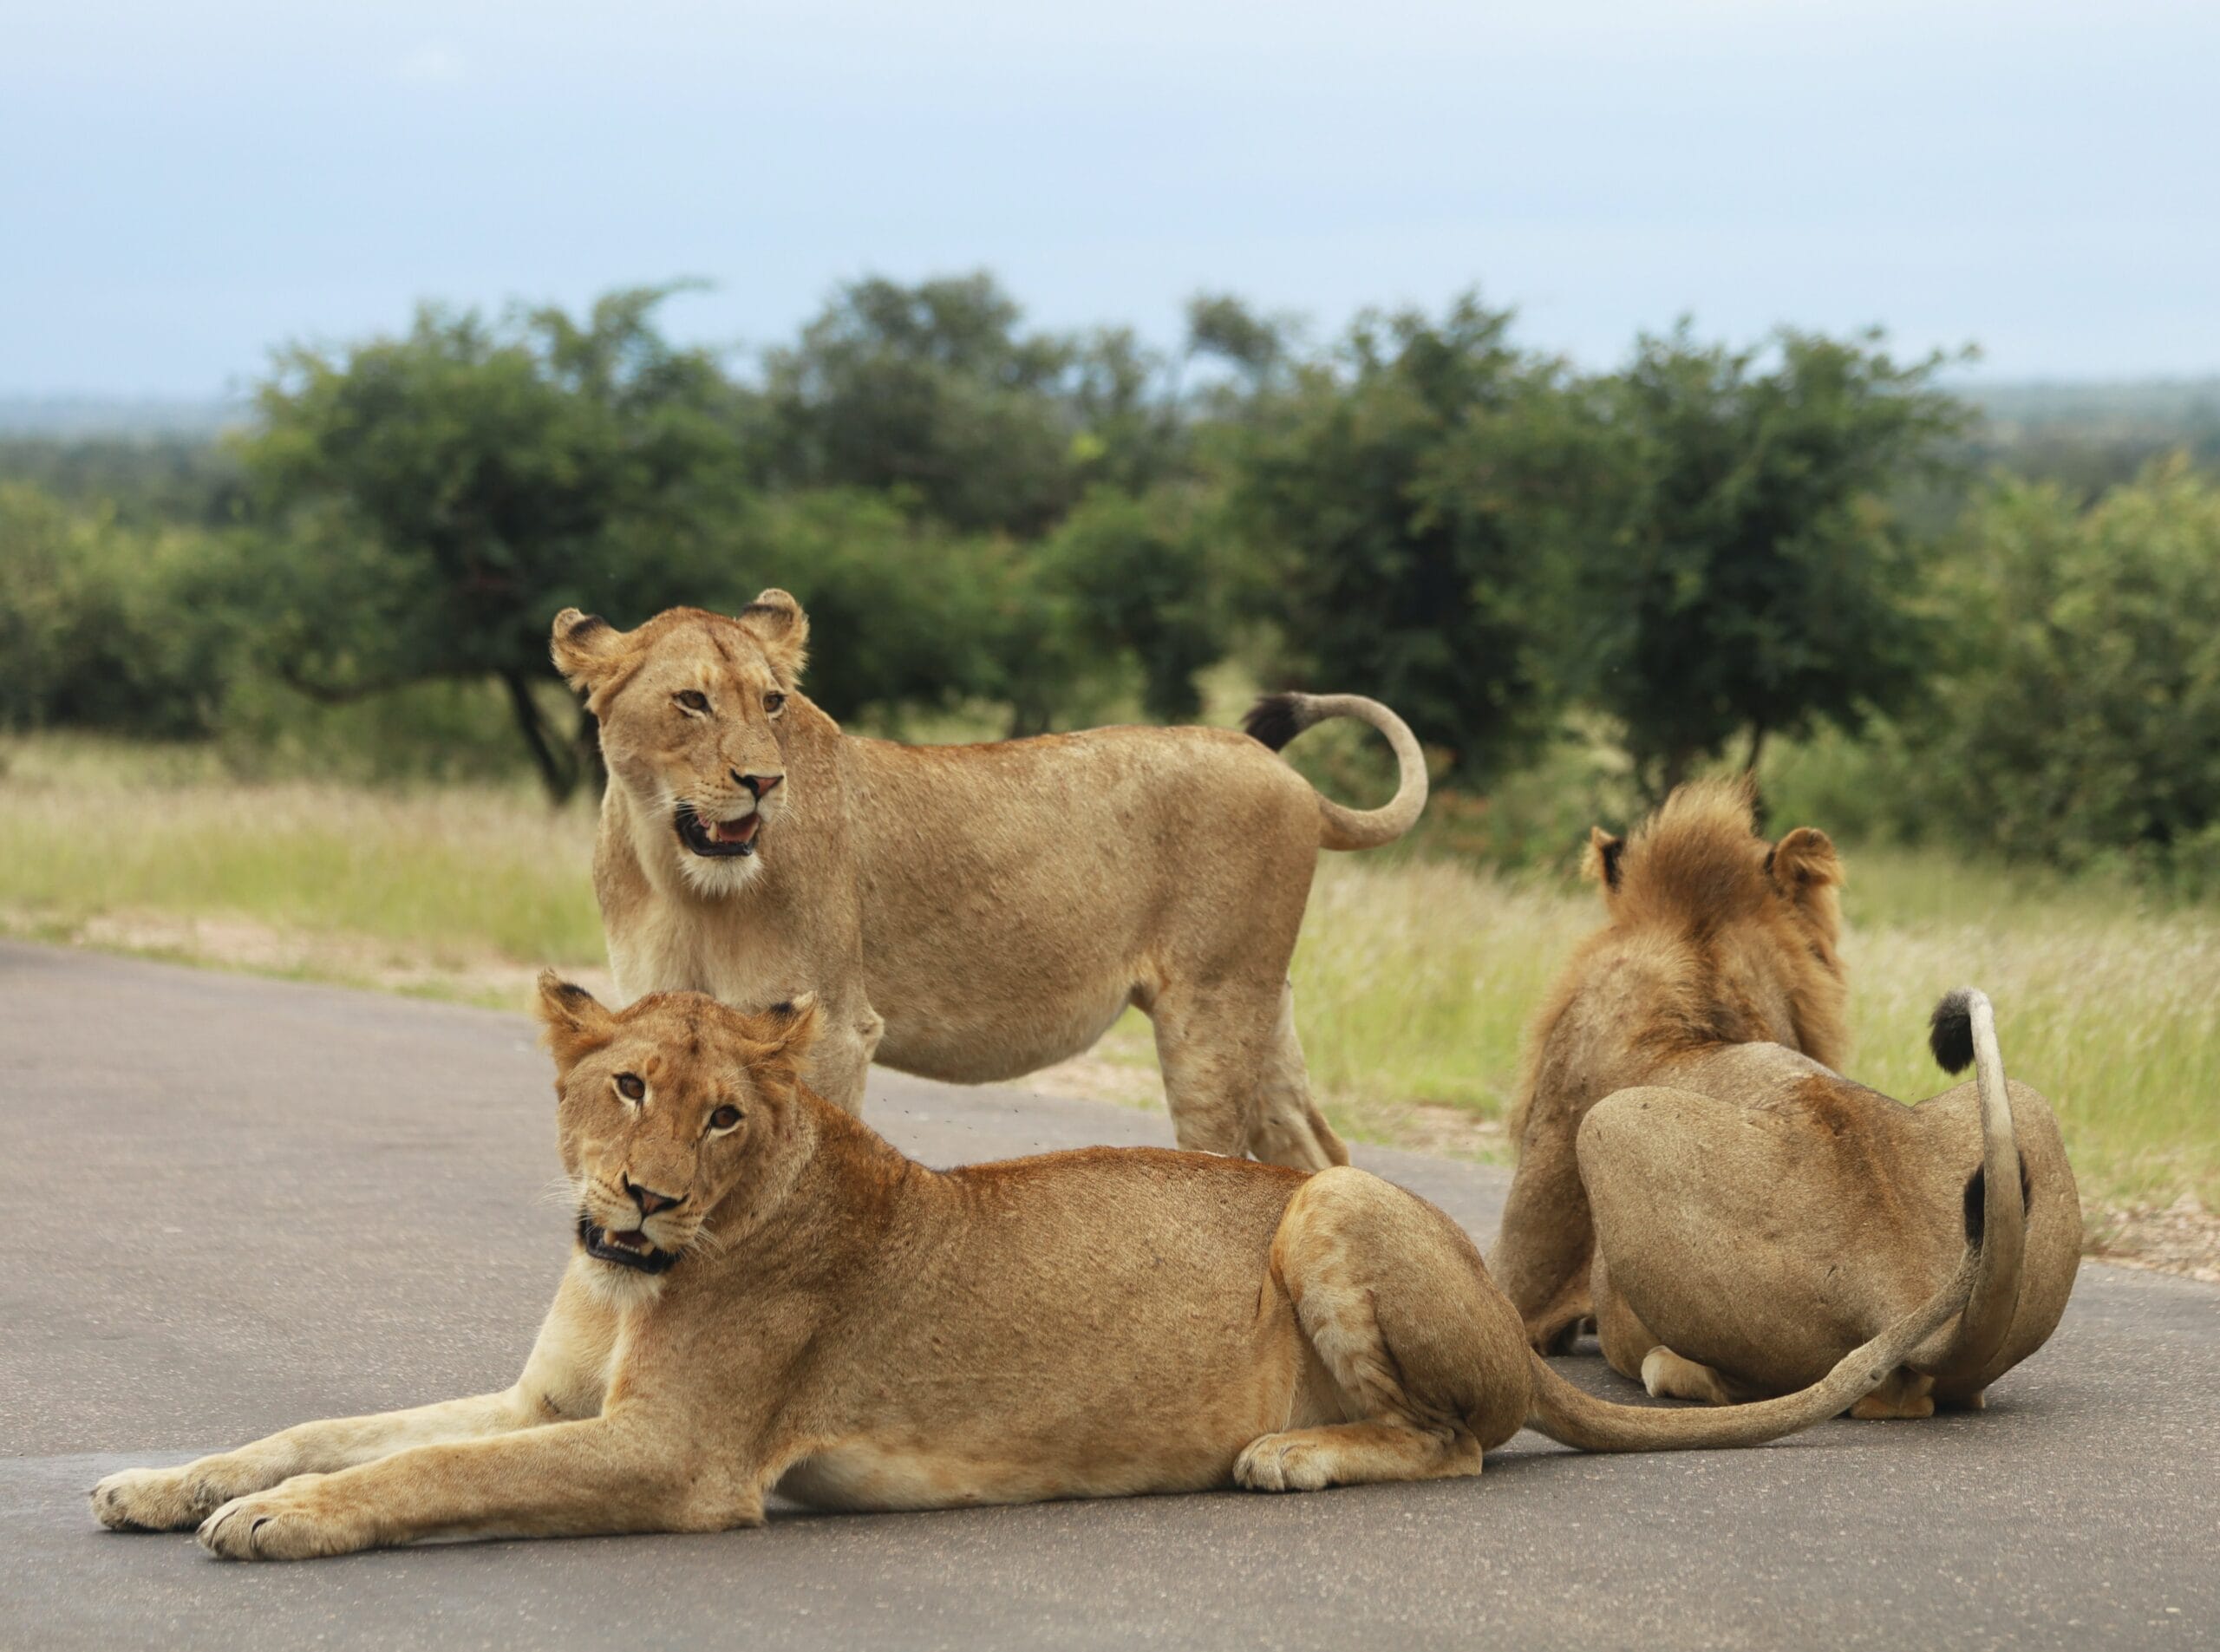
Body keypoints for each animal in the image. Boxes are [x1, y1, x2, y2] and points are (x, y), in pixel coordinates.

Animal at [95, 972, 1988, 1554]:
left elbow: (421, 1479)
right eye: (628, 1086)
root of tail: (1527, 1332)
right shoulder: (547, 1397)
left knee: (1463, 1438)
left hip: (1326, 1211)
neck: (634, 1268)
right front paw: (163, 1482)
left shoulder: (680, 1457)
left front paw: (274, 1528)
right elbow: (346, 1430)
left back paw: (1289, 1452)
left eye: (723, 1111)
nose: (638, 1194)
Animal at [545, 595, 1429, 1172]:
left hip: (1210, 1012)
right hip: (1259, 1006)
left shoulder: (831, 1026)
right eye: (691, 701)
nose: (764, 782)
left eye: (771, 702)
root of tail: (1294, 781)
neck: (674, 872)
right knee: (1319, 1151)